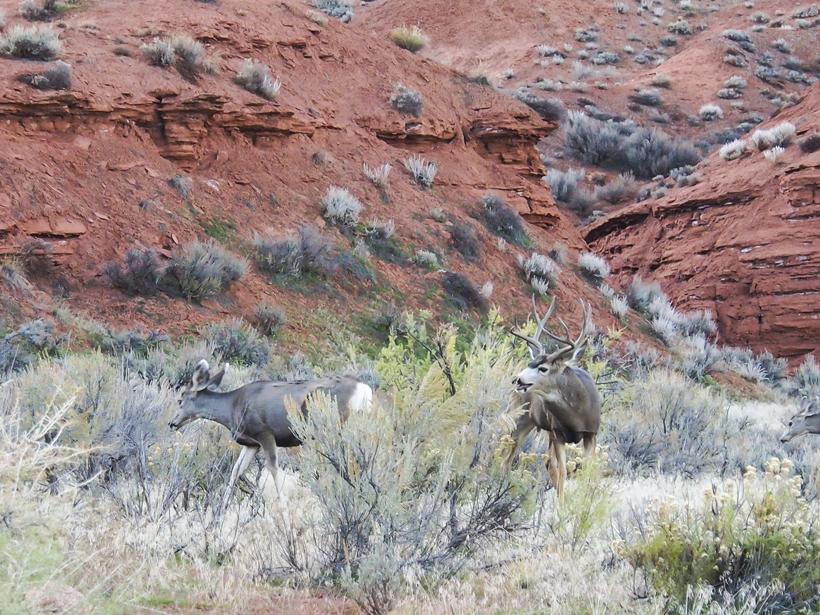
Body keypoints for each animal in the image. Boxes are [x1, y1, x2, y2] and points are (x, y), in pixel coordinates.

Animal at [169, 360, 373, 505]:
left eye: (180, 399)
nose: (172, 423)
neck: (232, 408)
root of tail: (364, 390)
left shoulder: (265, 433)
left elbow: (273, 469)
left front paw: (282, 507)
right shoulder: (251, 443)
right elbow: (236, 470)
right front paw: (222, 507)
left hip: (333, 428)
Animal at [503, 296, 601, 497]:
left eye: (543, 368)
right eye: (530, 363)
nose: (517, 379)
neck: (576, 414)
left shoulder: (591, 433)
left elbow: (588, 470)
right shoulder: (558, 433)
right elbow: (562, 471)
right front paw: (563, 503)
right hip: (520, 416)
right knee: (507, 452)